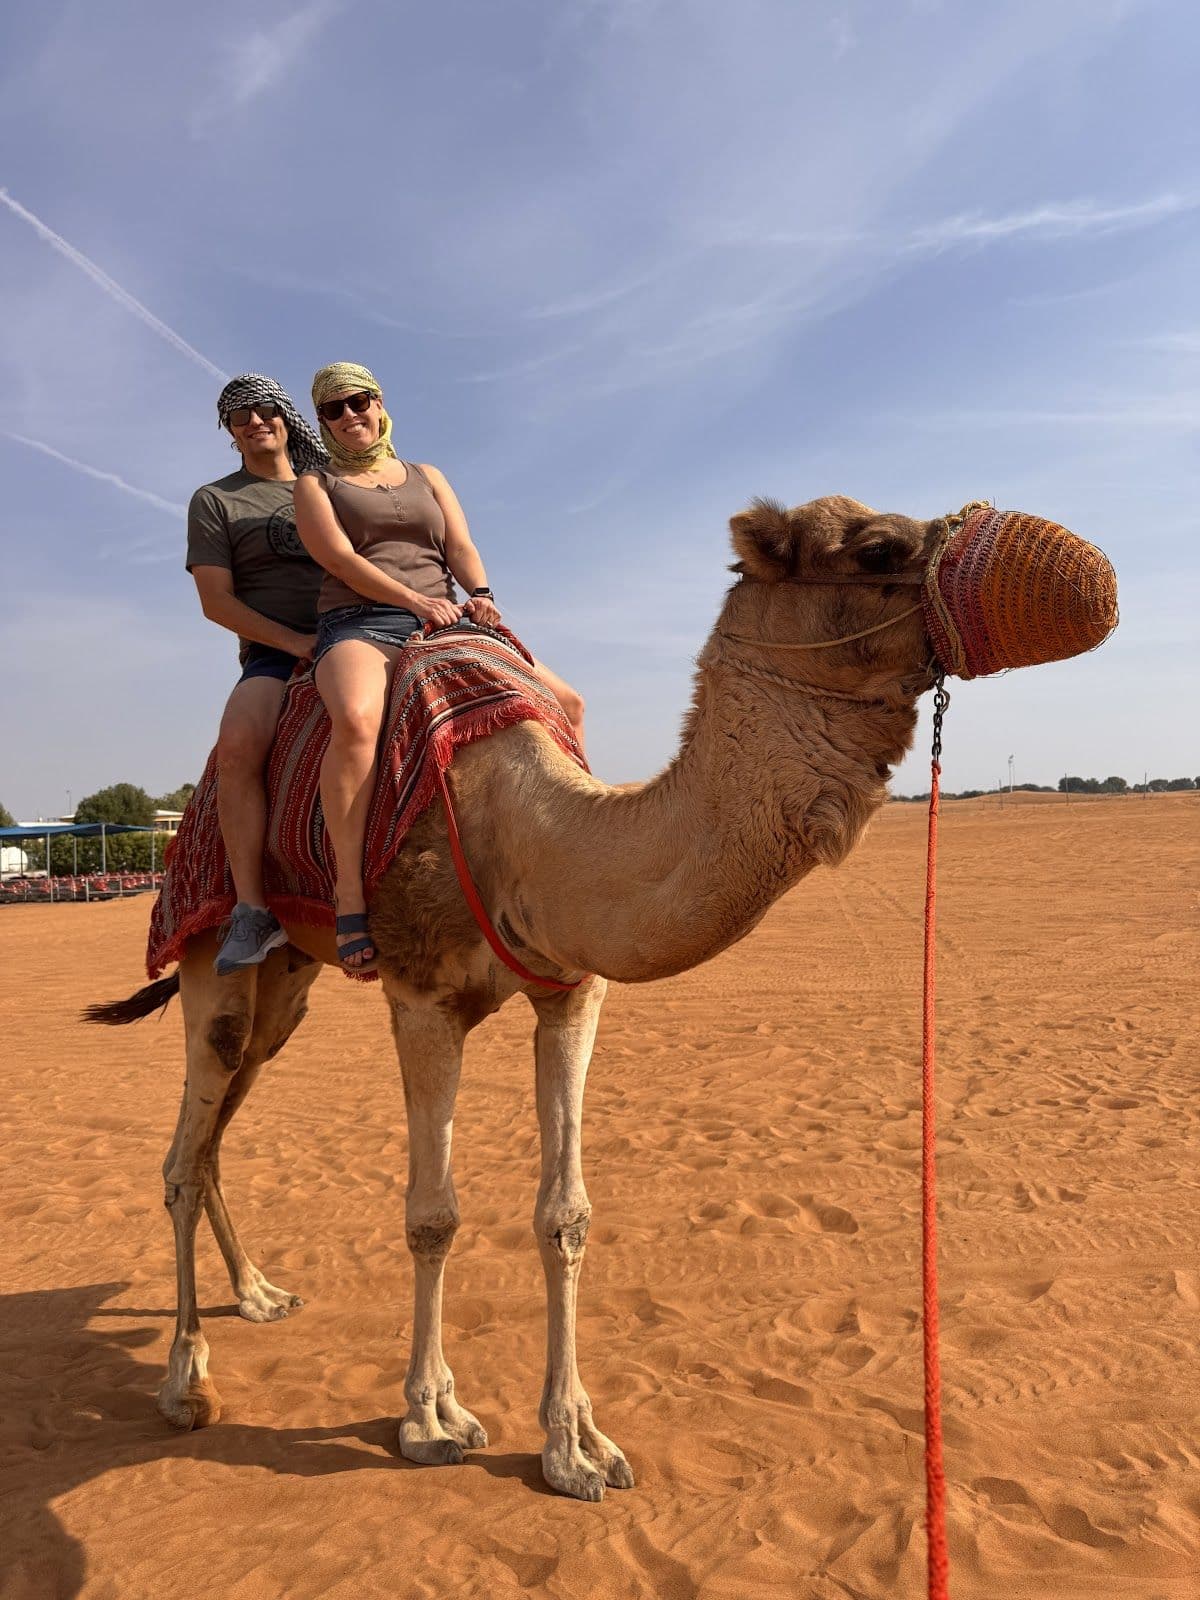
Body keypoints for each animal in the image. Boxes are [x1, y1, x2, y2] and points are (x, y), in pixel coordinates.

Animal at [89, 494, 944, 1502]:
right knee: (186, 1148)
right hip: (210, 954)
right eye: (879, 548)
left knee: (218, 1130)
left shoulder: (572, 991)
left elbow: (565, 1213)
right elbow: (433, 1214)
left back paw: (259, 1294)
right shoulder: (421, 998)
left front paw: (577, 1446)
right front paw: (430, 1419)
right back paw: (187, 1382)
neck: (527, 827)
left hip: (287, 988)